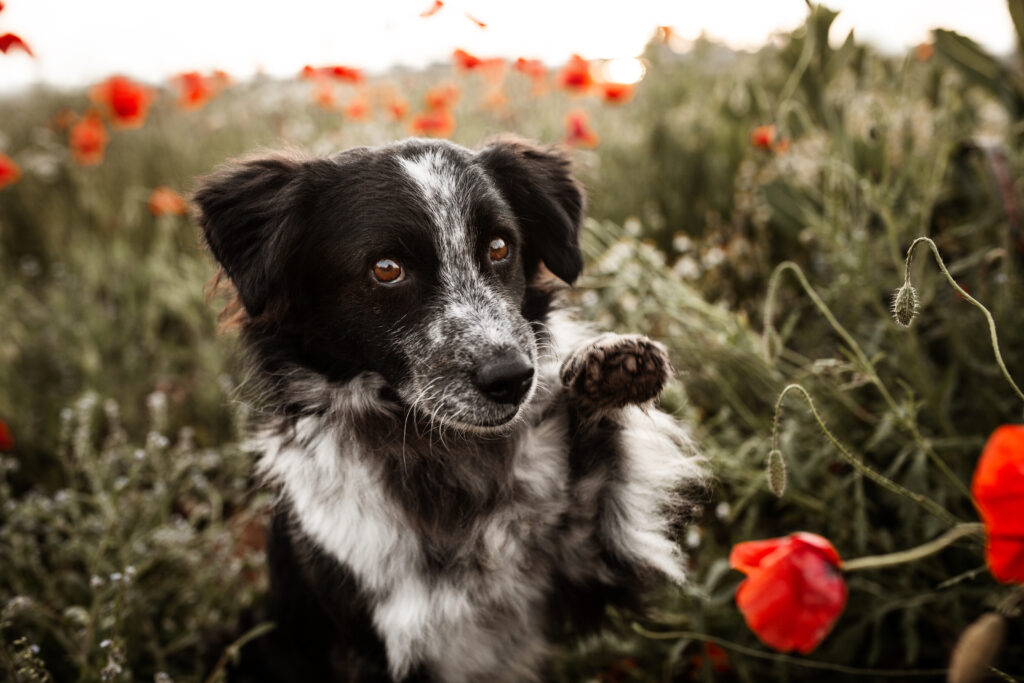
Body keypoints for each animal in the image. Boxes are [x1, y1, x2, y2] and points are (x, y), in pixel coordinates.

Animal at [192, 139, 704, 683]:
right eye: (386, 269)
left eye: (499, 247)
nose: (513, 378)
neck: (444, 457)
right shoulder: (374, 640)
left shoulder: (586, 570)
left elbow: (603, 475)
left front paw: (610, 368)